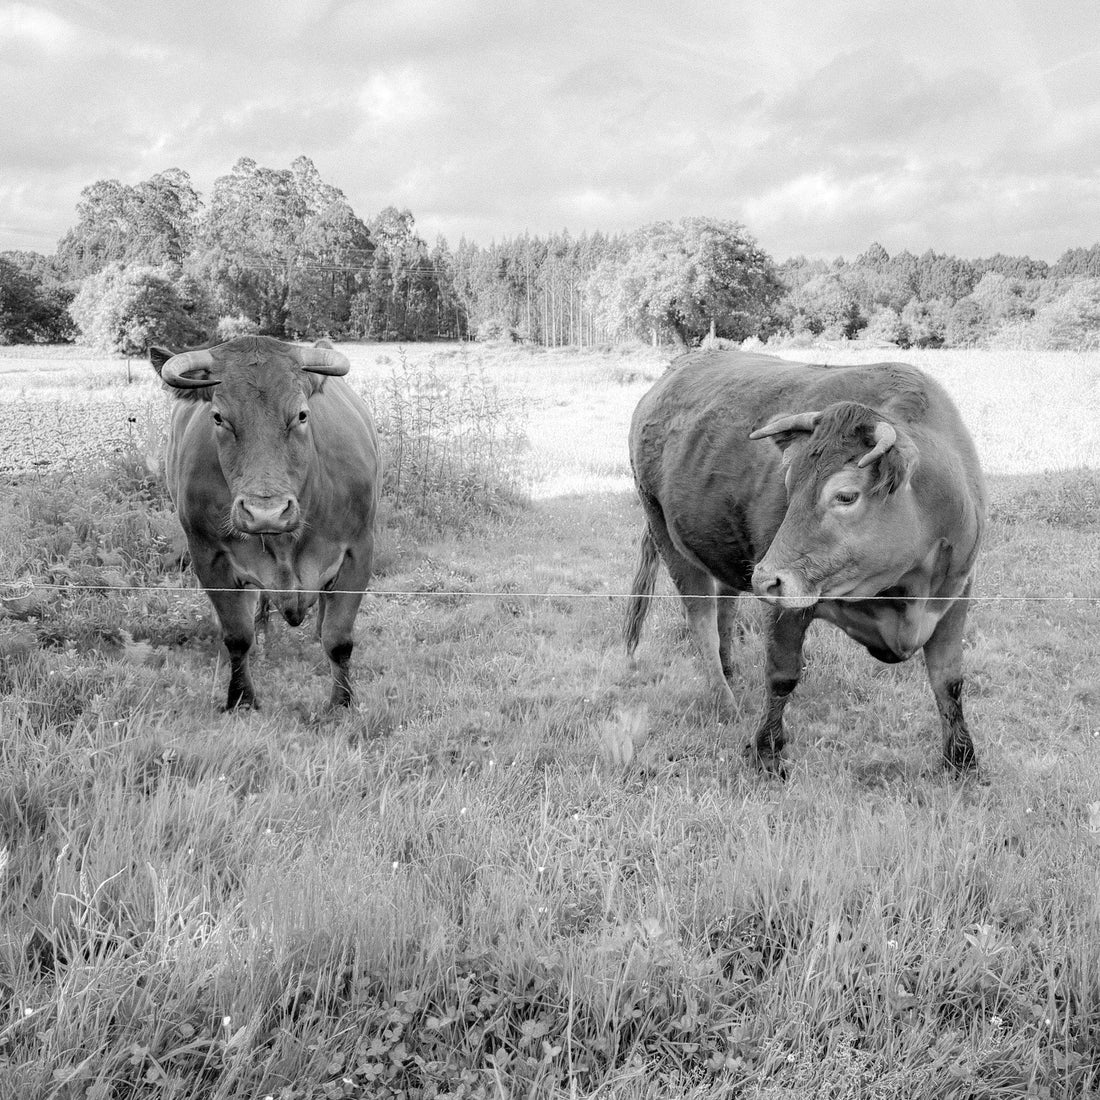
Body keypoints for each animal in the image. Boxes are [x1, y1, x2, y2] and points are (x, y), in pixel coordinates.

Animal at [150, 336, 380, 712]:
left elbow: (339, 639)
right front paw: (241, 698)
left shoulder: (358, 551)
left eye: (301, 414)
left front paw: (341, 703)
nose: (265, 513)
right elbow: (236, 637)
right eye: (218, 417)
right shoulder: (208, 557)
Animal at [625, 348, 986, 776]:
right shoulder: (789, 601)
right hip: (664, 531)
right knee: (702, 621)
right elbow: (782, 675)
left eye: (846, 495)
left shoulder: (955, 594)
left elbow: (949, 679)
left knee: (725, 605)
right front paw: (766, 752)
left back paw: (730, 672)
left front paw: (962, 760)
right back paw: (724, 701)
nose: (765, 578)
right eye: (789, 483)